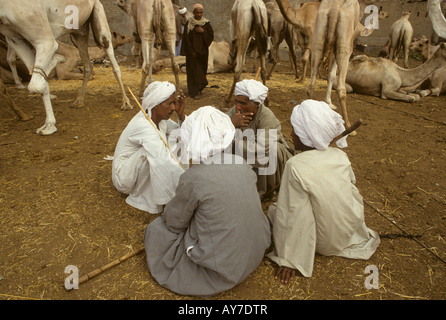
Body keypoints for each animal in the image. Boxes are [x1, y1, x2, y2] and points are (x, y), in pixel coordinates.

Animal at [0, 0, 132, 136]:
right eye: (122, 37)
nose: (130, 37)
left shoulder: (42, 37)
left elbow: (36, 83)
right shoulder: (15, 38)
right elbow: (39, 81)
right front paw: (48, 125)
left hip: (98, 18)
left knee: (113, 63)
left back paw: (126, 103)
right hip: (78, 32)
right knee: (87, 65)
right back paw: (78, 100)